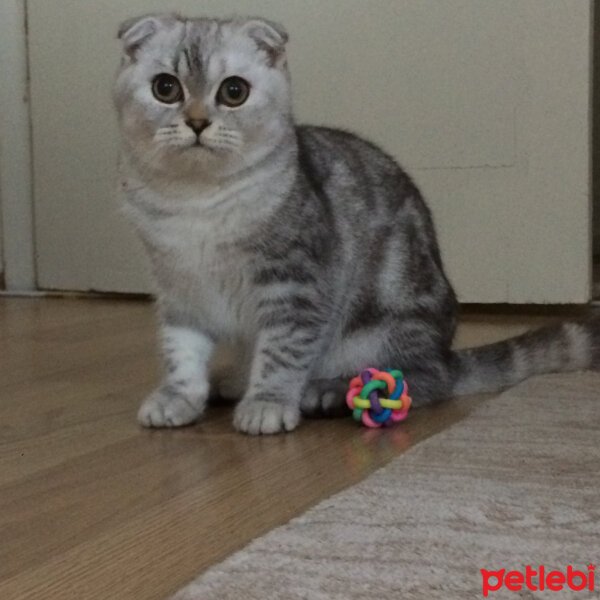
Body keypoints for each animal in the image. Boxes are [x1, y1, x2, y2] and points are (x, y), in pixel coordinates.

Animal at [113, 15, 600, 436]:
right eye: (165, 88)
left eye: (234, 91)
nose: (196, 122)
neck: (196, 202)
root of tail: (445, 352)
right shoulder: (179, 291)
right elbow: (181, 352)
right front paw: (179, 396)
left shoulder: (297, 287)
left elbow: (282, 352)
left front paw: (268, 402)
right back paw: (233, 381)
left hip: (385, 328)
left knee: (427, 378)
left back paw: (325, 391)